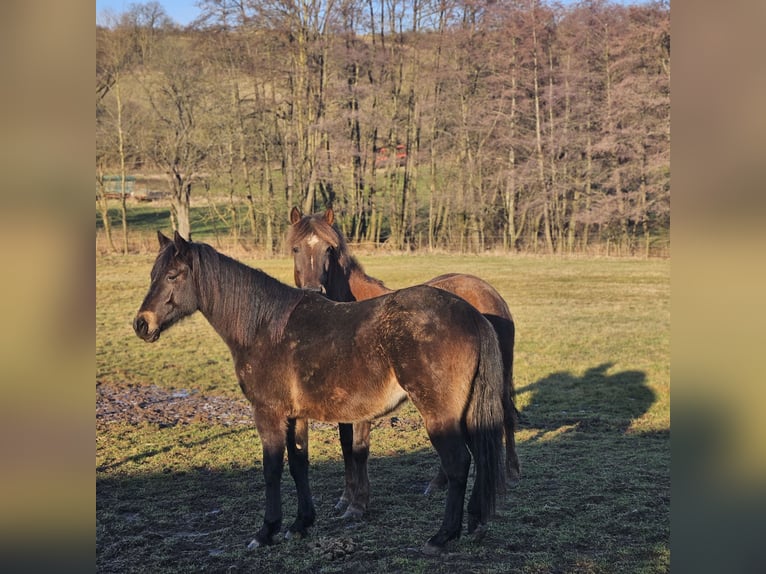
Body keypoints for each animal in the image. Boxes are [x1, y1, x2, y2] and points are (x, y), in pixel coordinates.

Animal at [135, 232, 508, 556]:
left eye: (173, 275)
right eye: (152, 274)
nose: (142, 324)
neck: (264, 327)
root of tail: (473, 315)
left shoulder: (268, 413)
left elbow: (272, 469)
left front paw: (266, 532)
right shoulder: (296, 416)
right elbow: (299, 465)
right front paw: (300, 524)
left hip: (439, 416)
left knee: (458, 464)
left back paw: (442, 536)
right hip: (467, 414)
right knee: (479, 458)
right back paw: (475, 524)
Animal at [288, 208, 520, 520]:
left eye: (329, 249)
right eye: (296, 248)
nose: (315, 290)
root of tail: (488, 291)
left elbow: (359, 448)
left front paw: (357, 505)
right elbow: (346, 445)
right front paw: (345, 498)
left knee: (505, 415)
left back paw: (511, 473)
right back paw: (437, 483)